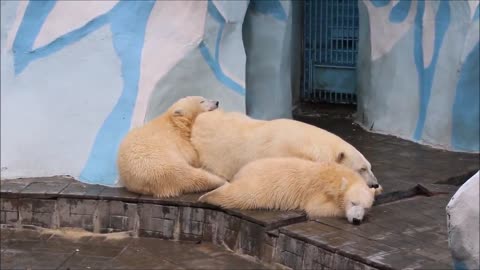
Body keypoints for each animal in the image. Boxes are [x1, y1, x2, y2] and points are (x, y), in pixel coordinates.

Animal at [199, 157, 376, 225]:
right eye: (353, 202)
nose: (356, 220)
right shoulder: (318, 191)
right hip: (262, 185)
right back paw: (207, 196)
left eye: (366, 207)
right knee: (242, 195)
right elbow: (316, 208)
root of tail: (242, 171)